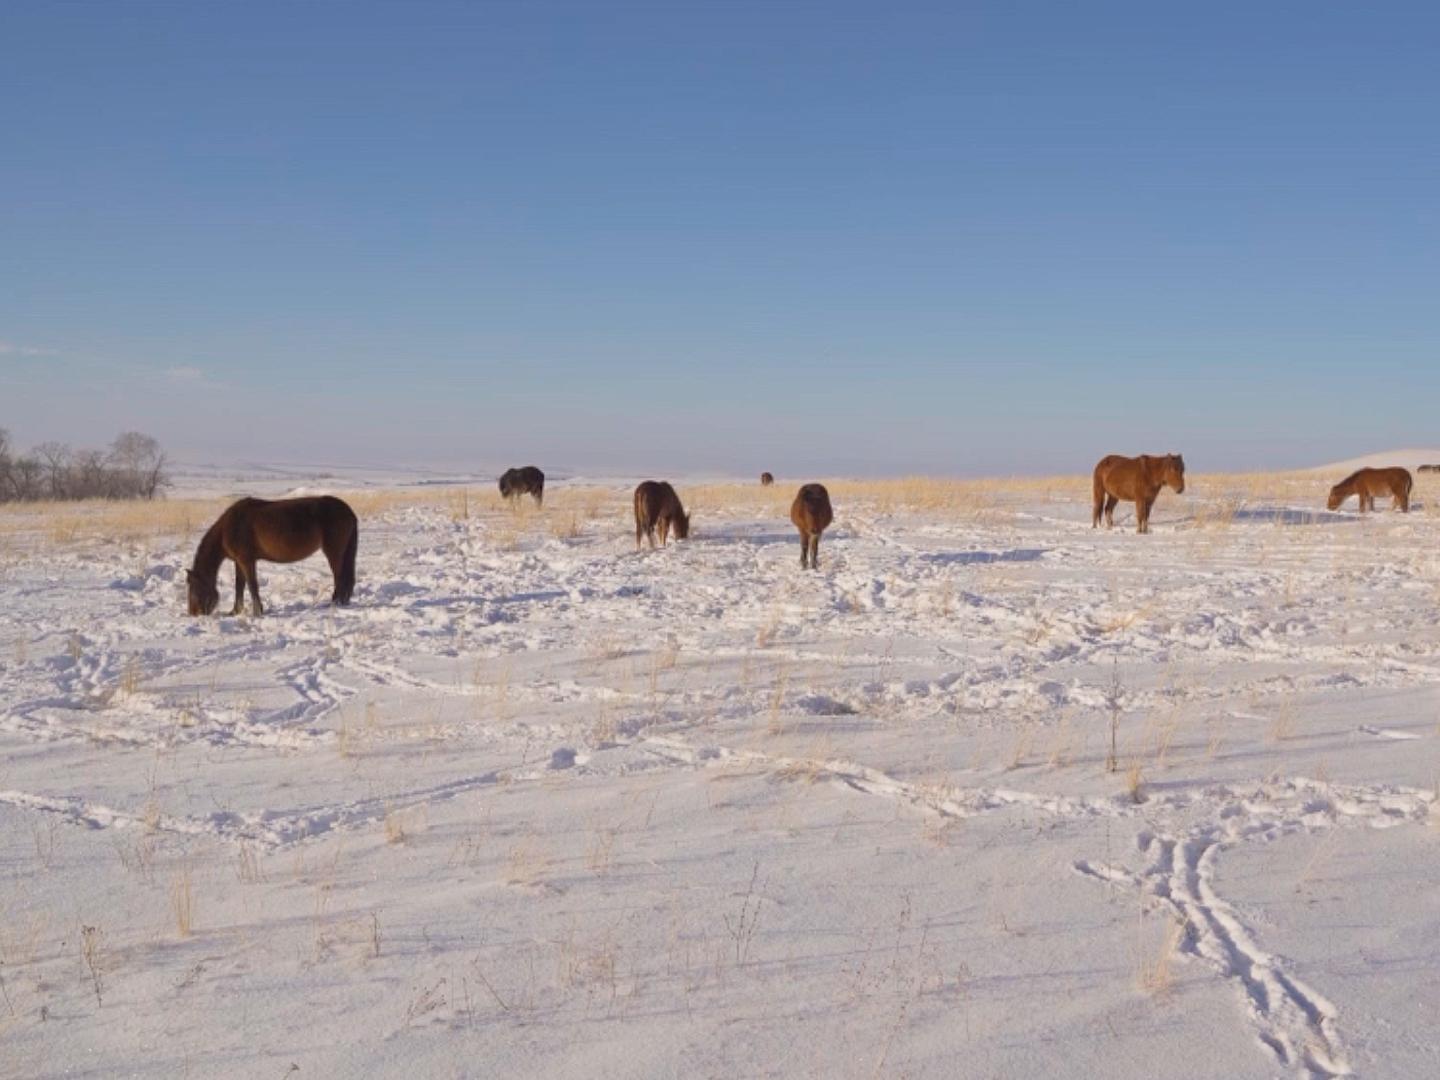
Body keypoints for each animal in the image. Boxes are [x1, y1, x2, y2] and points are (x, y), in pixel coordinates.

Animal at [186, 496, 358, 616]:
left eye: (193, 588)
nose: (193, 613)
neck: (228, 529)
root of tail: (349, 511)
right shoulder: (239, 561)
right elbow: (239, 585)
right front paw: (235, 611)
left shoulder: (246, 560)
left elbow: (252, 585)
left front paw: (257, 612)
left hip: (334, 553)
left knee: (339, 578)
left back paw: (334, 603)